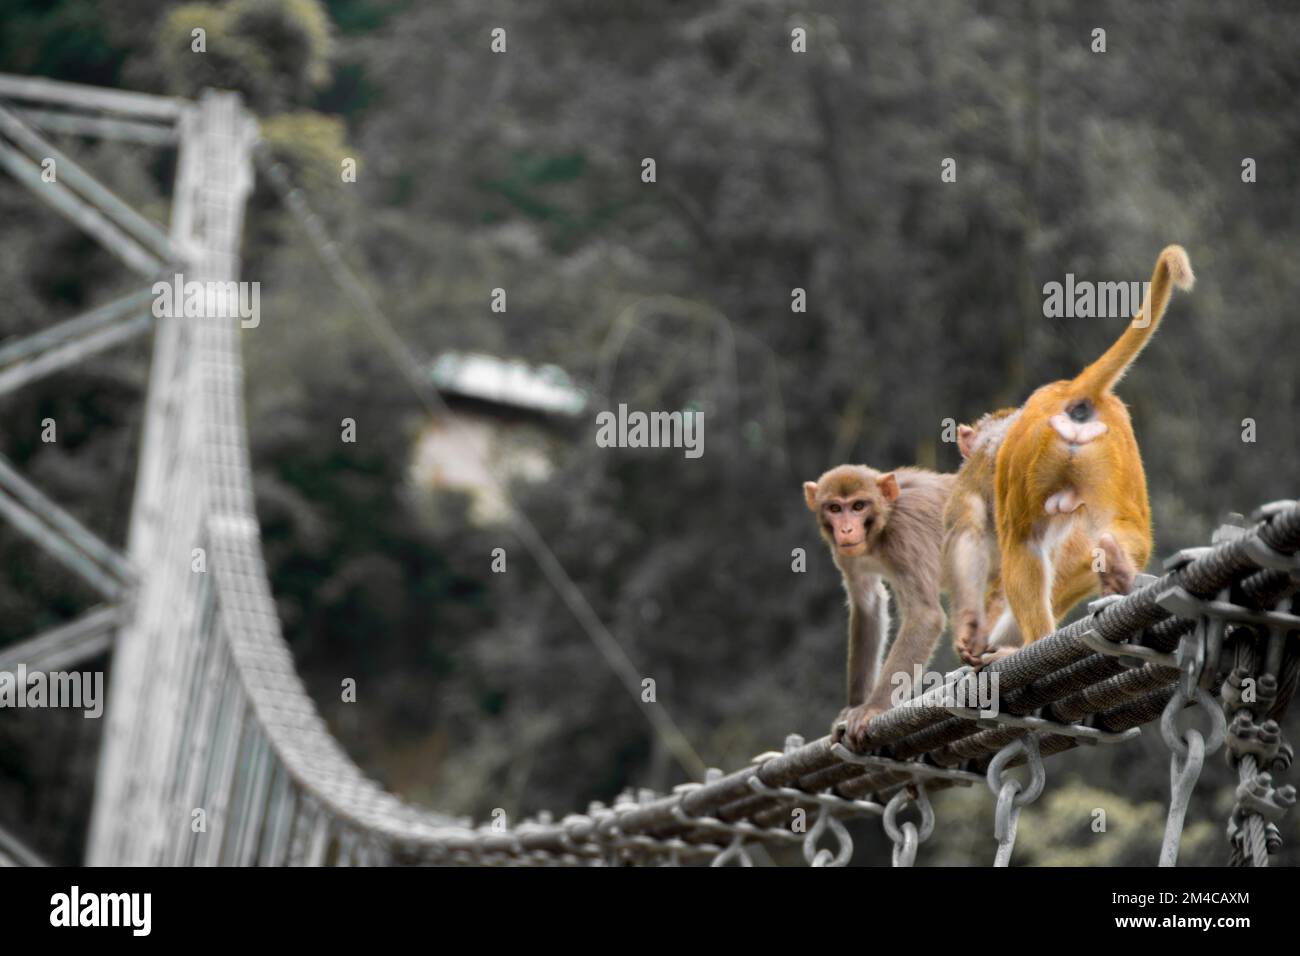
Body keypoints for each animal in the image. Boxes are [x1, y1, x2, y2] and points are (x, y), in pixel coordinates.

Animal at [804, 464, 955, 746]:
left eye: (858, 506)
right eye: (835, 508)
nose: (846, 530)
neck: (884, 522)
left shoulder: (906, 536)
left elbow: (925, 615)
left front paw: (872, 708)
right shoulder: (846, 553)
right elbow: (868, 604)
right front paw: (854, 707)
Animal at [979, 245, 1194, 661]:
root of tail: (1072, 391)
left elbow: (1024, 546)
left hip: (1036, 451)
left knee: (1022, 544)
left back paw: (1032, 640)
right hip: (1108, 447)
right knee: (1127, 530)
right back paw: (1118, 570)